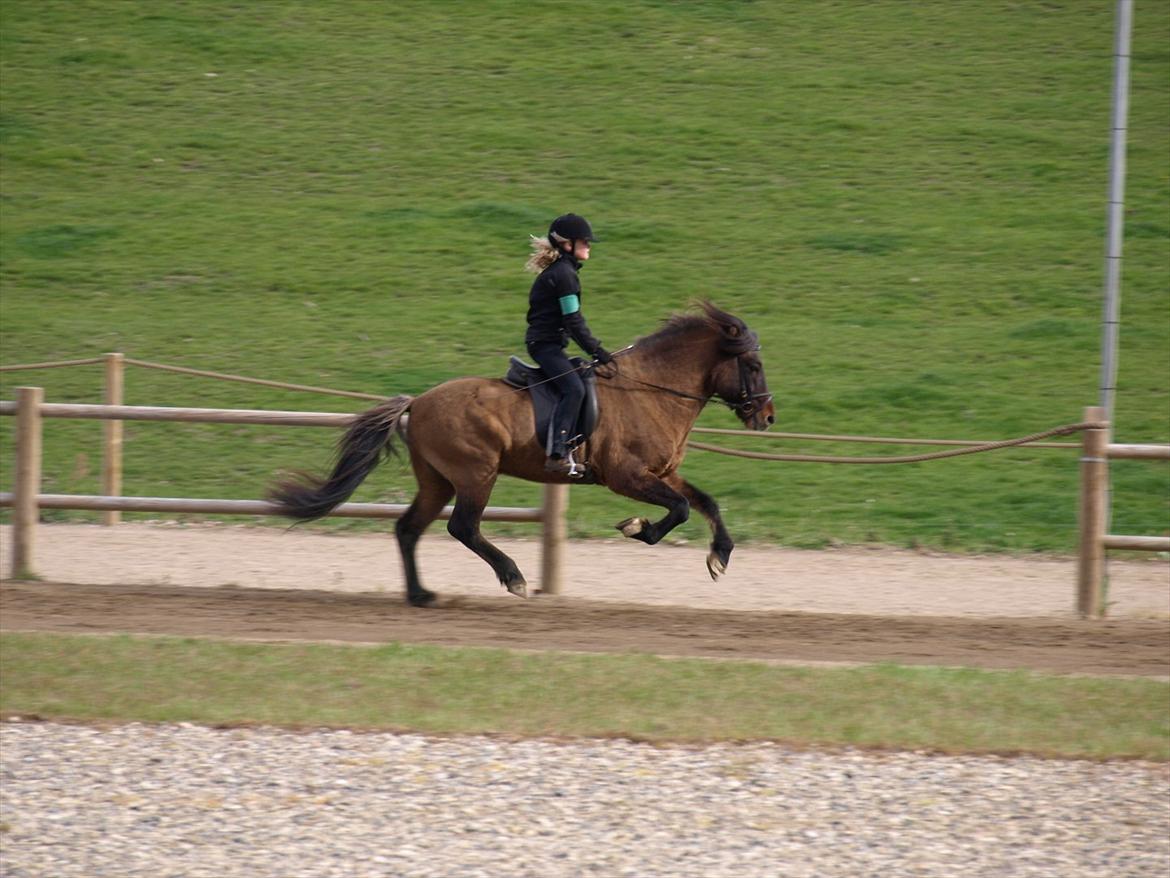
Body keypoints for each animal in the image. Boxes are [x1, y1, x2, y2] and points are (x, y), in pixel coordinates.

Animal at [269, 302, 772, 604]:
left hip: (437, 480)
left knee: (409, 529)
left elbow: (705, 502)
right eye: (752, 364)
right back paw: (512, 578)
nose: (767, 417)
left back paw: (421, 595)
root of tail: (419, 401)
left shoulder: (661, 472)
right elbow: (681, 508)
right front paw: (638, 528)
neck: (650, 389)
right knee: (462, 527)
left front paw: (720, 556)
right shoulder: (626, 475)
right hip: (476, 475)